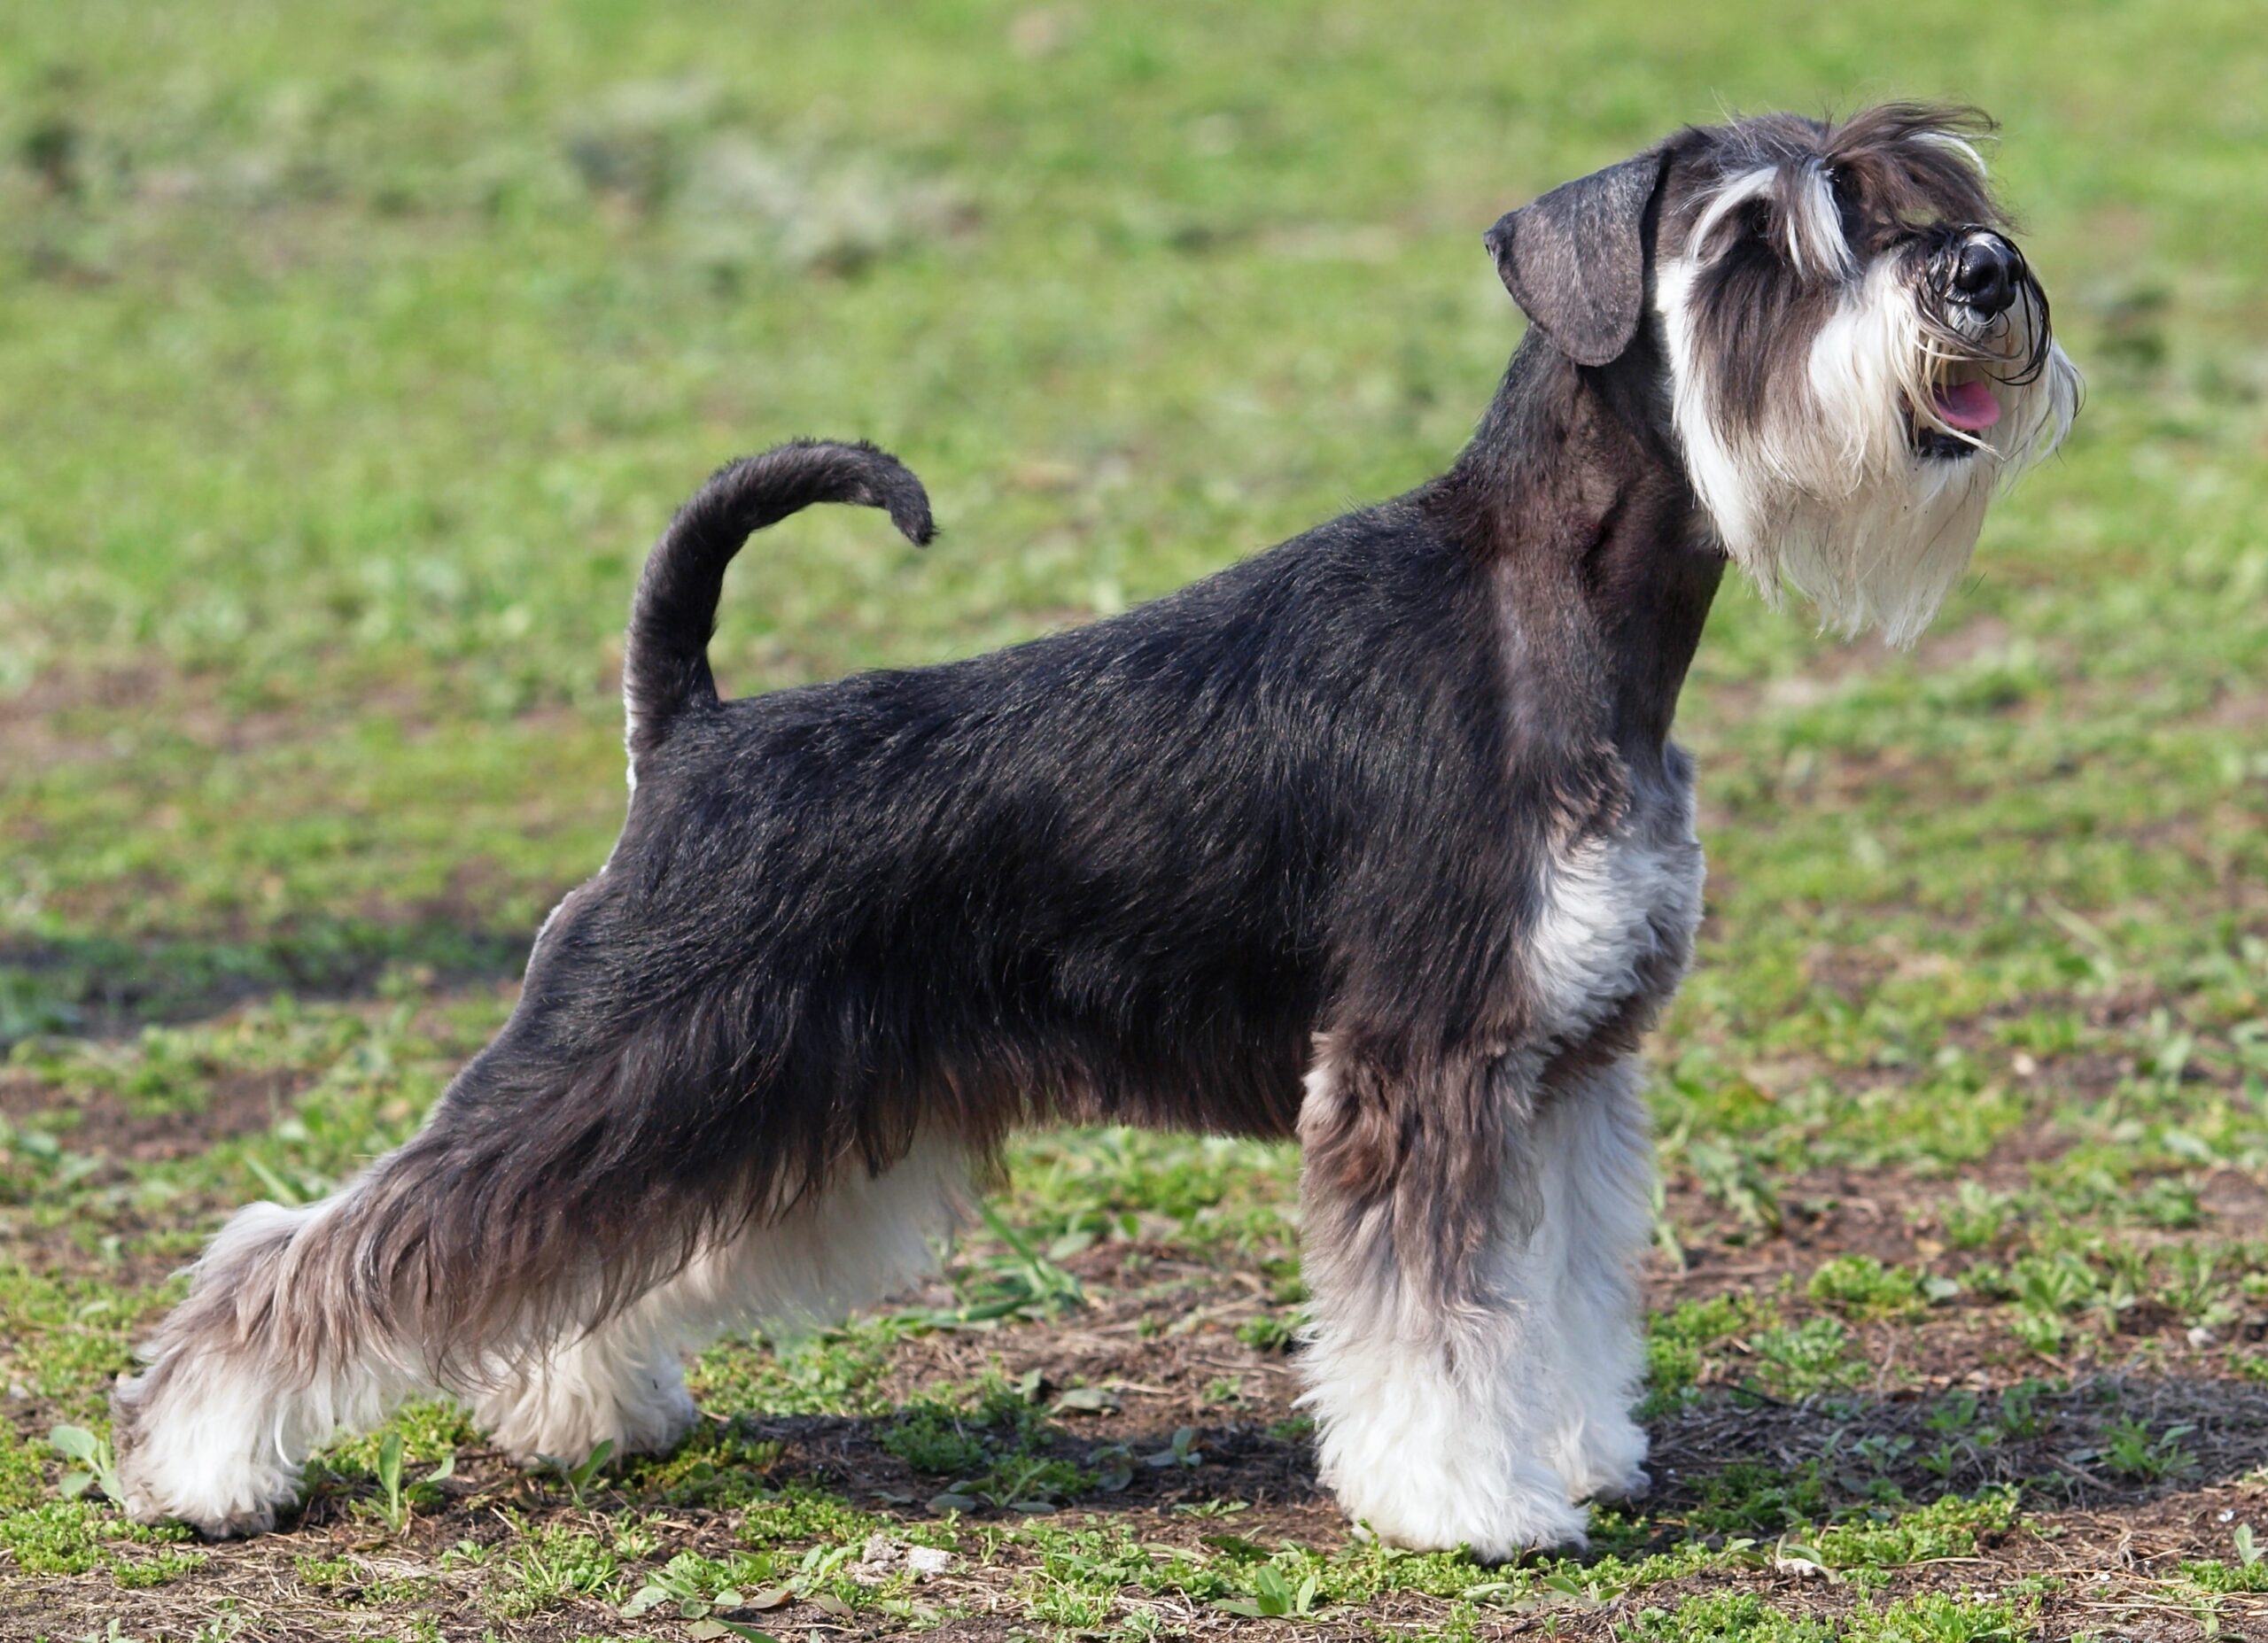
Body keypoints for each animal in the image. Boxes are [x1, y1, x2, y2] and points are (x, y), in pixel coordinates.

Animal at [114, 102, 2077, 1550]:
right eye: (1756, 237)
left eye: (1927, 187)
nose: (1984, 273)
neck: (1570, 615)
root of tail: (691, 734)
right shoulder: (1422, 1065)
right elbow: (1438, 1323)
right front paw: (1469, 1502)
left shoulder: (1572, 1071)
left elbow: (1562, 1293)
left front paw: (1580, 1447)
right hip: (630, 1066)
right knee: (323, 1249)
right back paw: (199, 1462)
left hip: (761, 1105)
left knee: (581, 1259)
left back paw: (575, 1413)